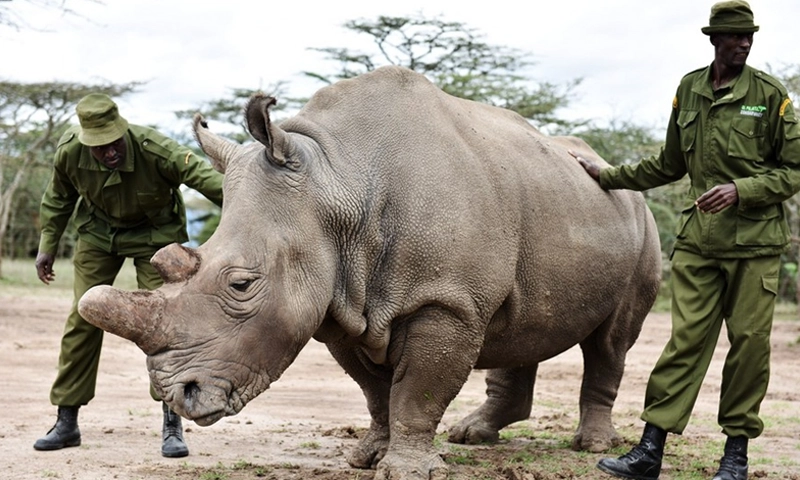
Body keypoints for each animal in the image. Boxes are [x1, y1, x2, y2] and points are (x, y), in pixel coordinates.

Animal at [78, 65, 661, 479]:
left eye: (241, 284)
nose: (178, 395)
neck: (337, 180)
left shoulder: (446, 300)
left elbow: (418, 390)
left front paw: (407, 472)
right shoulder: (340, 304)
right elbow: (375, 392)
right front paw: (366, 458)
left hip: (638, 220)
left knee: (611, 341)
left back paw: (593, 446)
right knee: (522, 325)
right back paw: (473, 436)